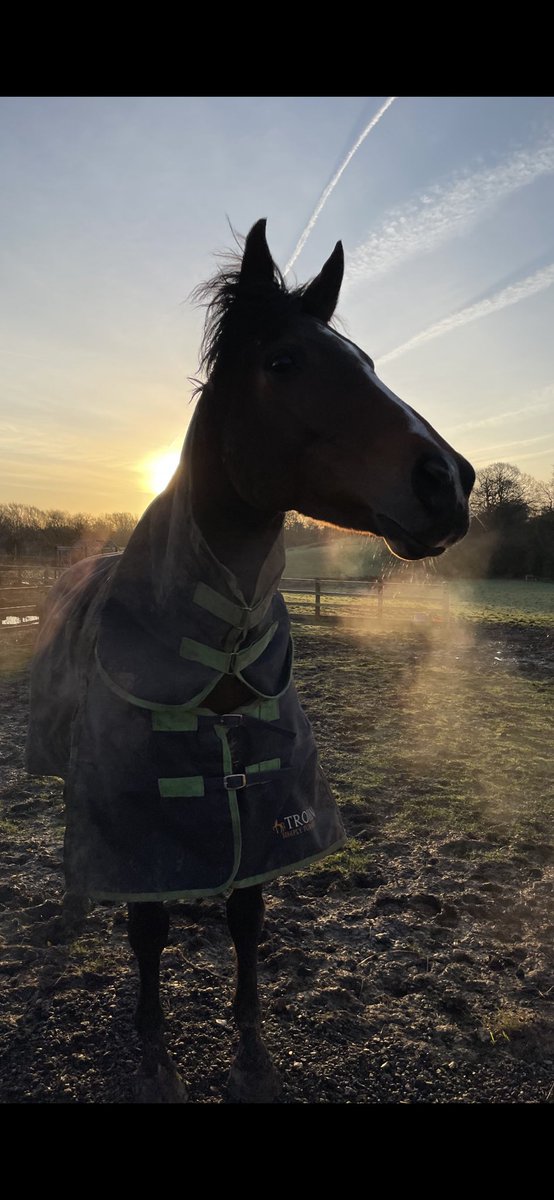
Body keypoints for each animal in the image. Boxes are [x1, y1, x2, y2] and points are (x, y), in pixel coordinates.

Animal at [25, 219, 475, 1103]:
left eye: (367, 360)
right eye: (283, 362)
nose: (449, 481)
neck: (219, 652)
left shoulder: (264, 799)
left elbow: (245, 917)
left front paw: (252, 1054)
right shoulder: (142, 815)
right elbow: (149, 924)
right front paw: (156, 1059)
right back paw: (71, 905)